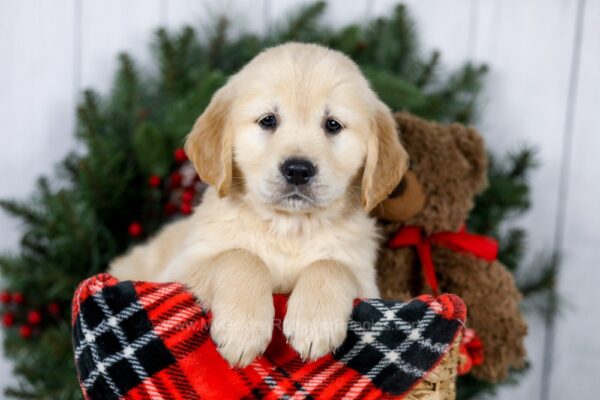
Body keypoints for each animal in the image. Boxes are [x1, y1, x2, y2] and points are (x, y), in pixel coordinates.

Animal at [109, 43, 408, 366]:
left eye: (333, 125)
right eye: (268, 120)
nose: (298, 170)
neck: (289, 227)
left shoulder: (367, 283)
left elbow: (331, 264)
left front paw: (315, 322)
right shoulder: (178, 272)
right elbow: (241, 256)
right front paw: (242, 329)